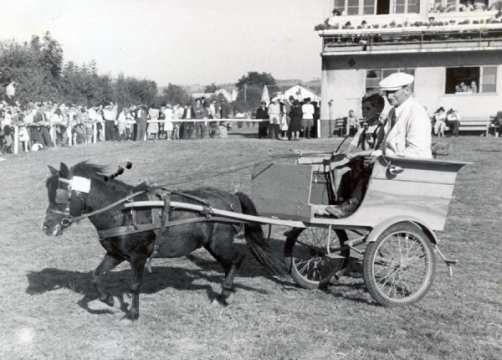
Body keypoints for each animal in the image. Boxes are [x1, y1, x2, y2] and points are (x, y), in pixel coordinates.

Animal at [42, 162, 286, 320]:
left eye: (62, 194)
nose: (47, 227)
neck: (123, 211)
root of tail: (231, 196)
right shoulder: (115, 254)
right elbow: (96, 275)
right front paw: (108, 300)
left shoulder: (138, 256)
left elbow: (135, 284)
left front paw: (133, 313)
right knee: (230, 264)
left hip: (219, 244)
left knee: (236, 259)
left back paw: (224, 294)